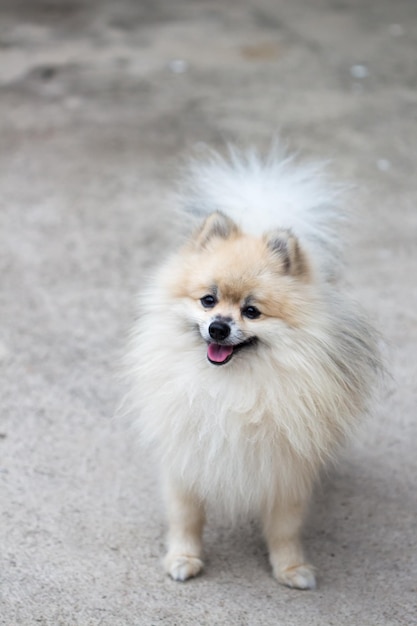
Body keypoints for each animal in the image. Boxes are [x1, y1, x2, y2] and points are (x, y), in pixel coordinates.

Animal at [127, 146, 380, 588]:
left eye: (251, 311)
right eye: (208, 300)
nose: (218, 327)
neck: (232, 386)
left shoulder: (286, 468)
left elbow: (284, 528)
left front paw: (291, 568)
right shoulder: (186, 457)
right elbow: (186, 516)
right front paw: (183, 558)